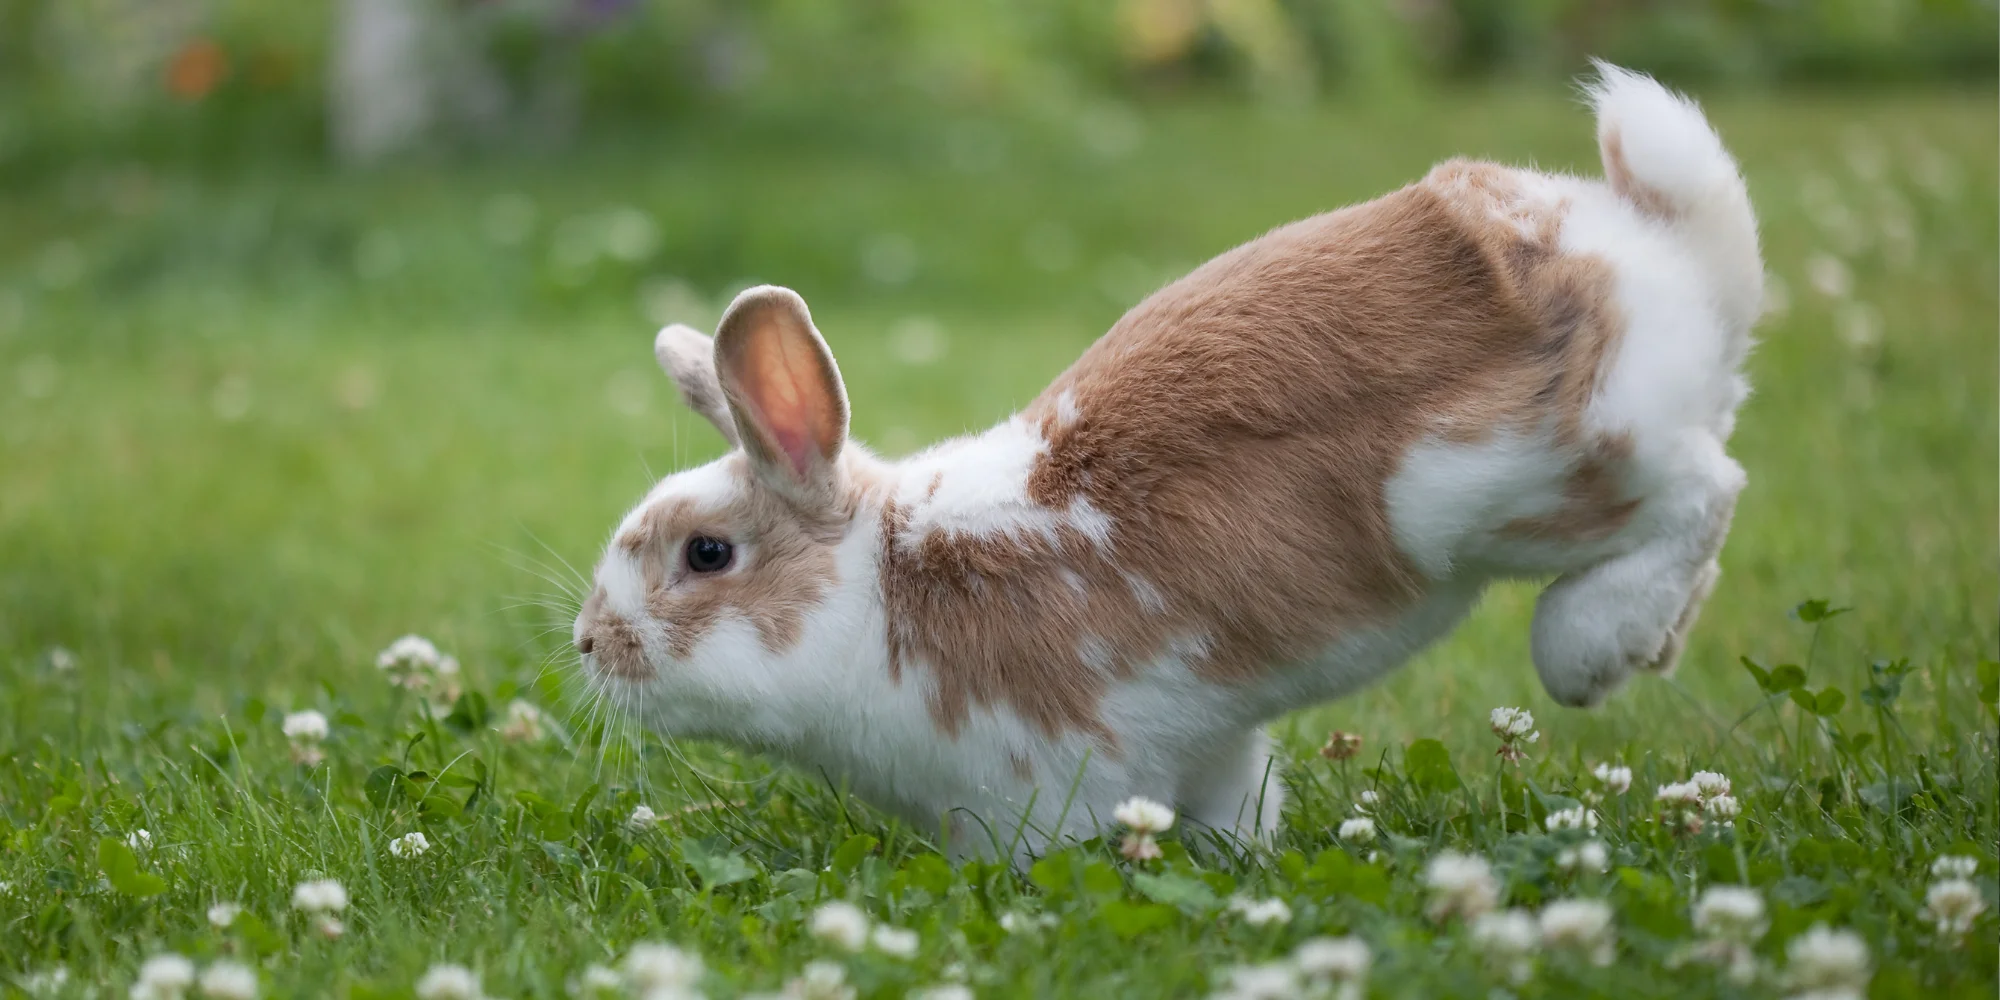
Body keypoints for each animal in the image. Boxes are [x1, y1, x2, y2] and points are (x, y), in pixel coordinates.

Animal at [573, 63, 1761, 864]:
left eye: (707, 554)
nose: (588, 642)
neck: (883, 583)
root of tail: (1656, 249)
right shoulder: (1208, 746)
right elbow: (1236, 807)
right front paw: (1244, 864)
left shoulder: (1041, 783)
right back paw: (1649, 645)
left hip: (1516, 486)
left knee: (1705, 491)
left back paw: (1590, 649)